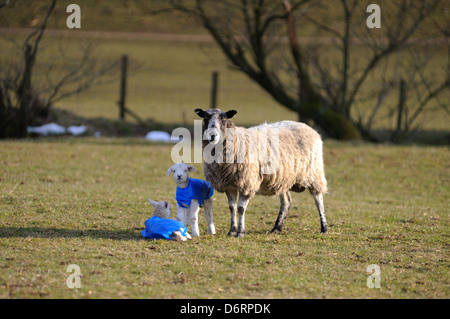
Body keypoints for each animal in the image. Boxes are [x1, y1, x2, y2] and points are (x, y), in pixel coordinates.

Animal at [193, 107, 326, 238]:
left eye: (224, 117)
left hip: (314, 172)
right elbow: (232, 208)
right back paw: (276, 228)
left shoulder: (247, 182)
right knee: (287, 202)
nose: (212, 135)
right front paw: (232, 231)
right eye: (205, 116)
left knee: (318, 199)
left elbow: (240, 209)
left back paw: (324, 228)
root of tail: (306, 126)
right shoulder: (229, 185)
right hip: (282, 179)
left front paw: (240, 232)